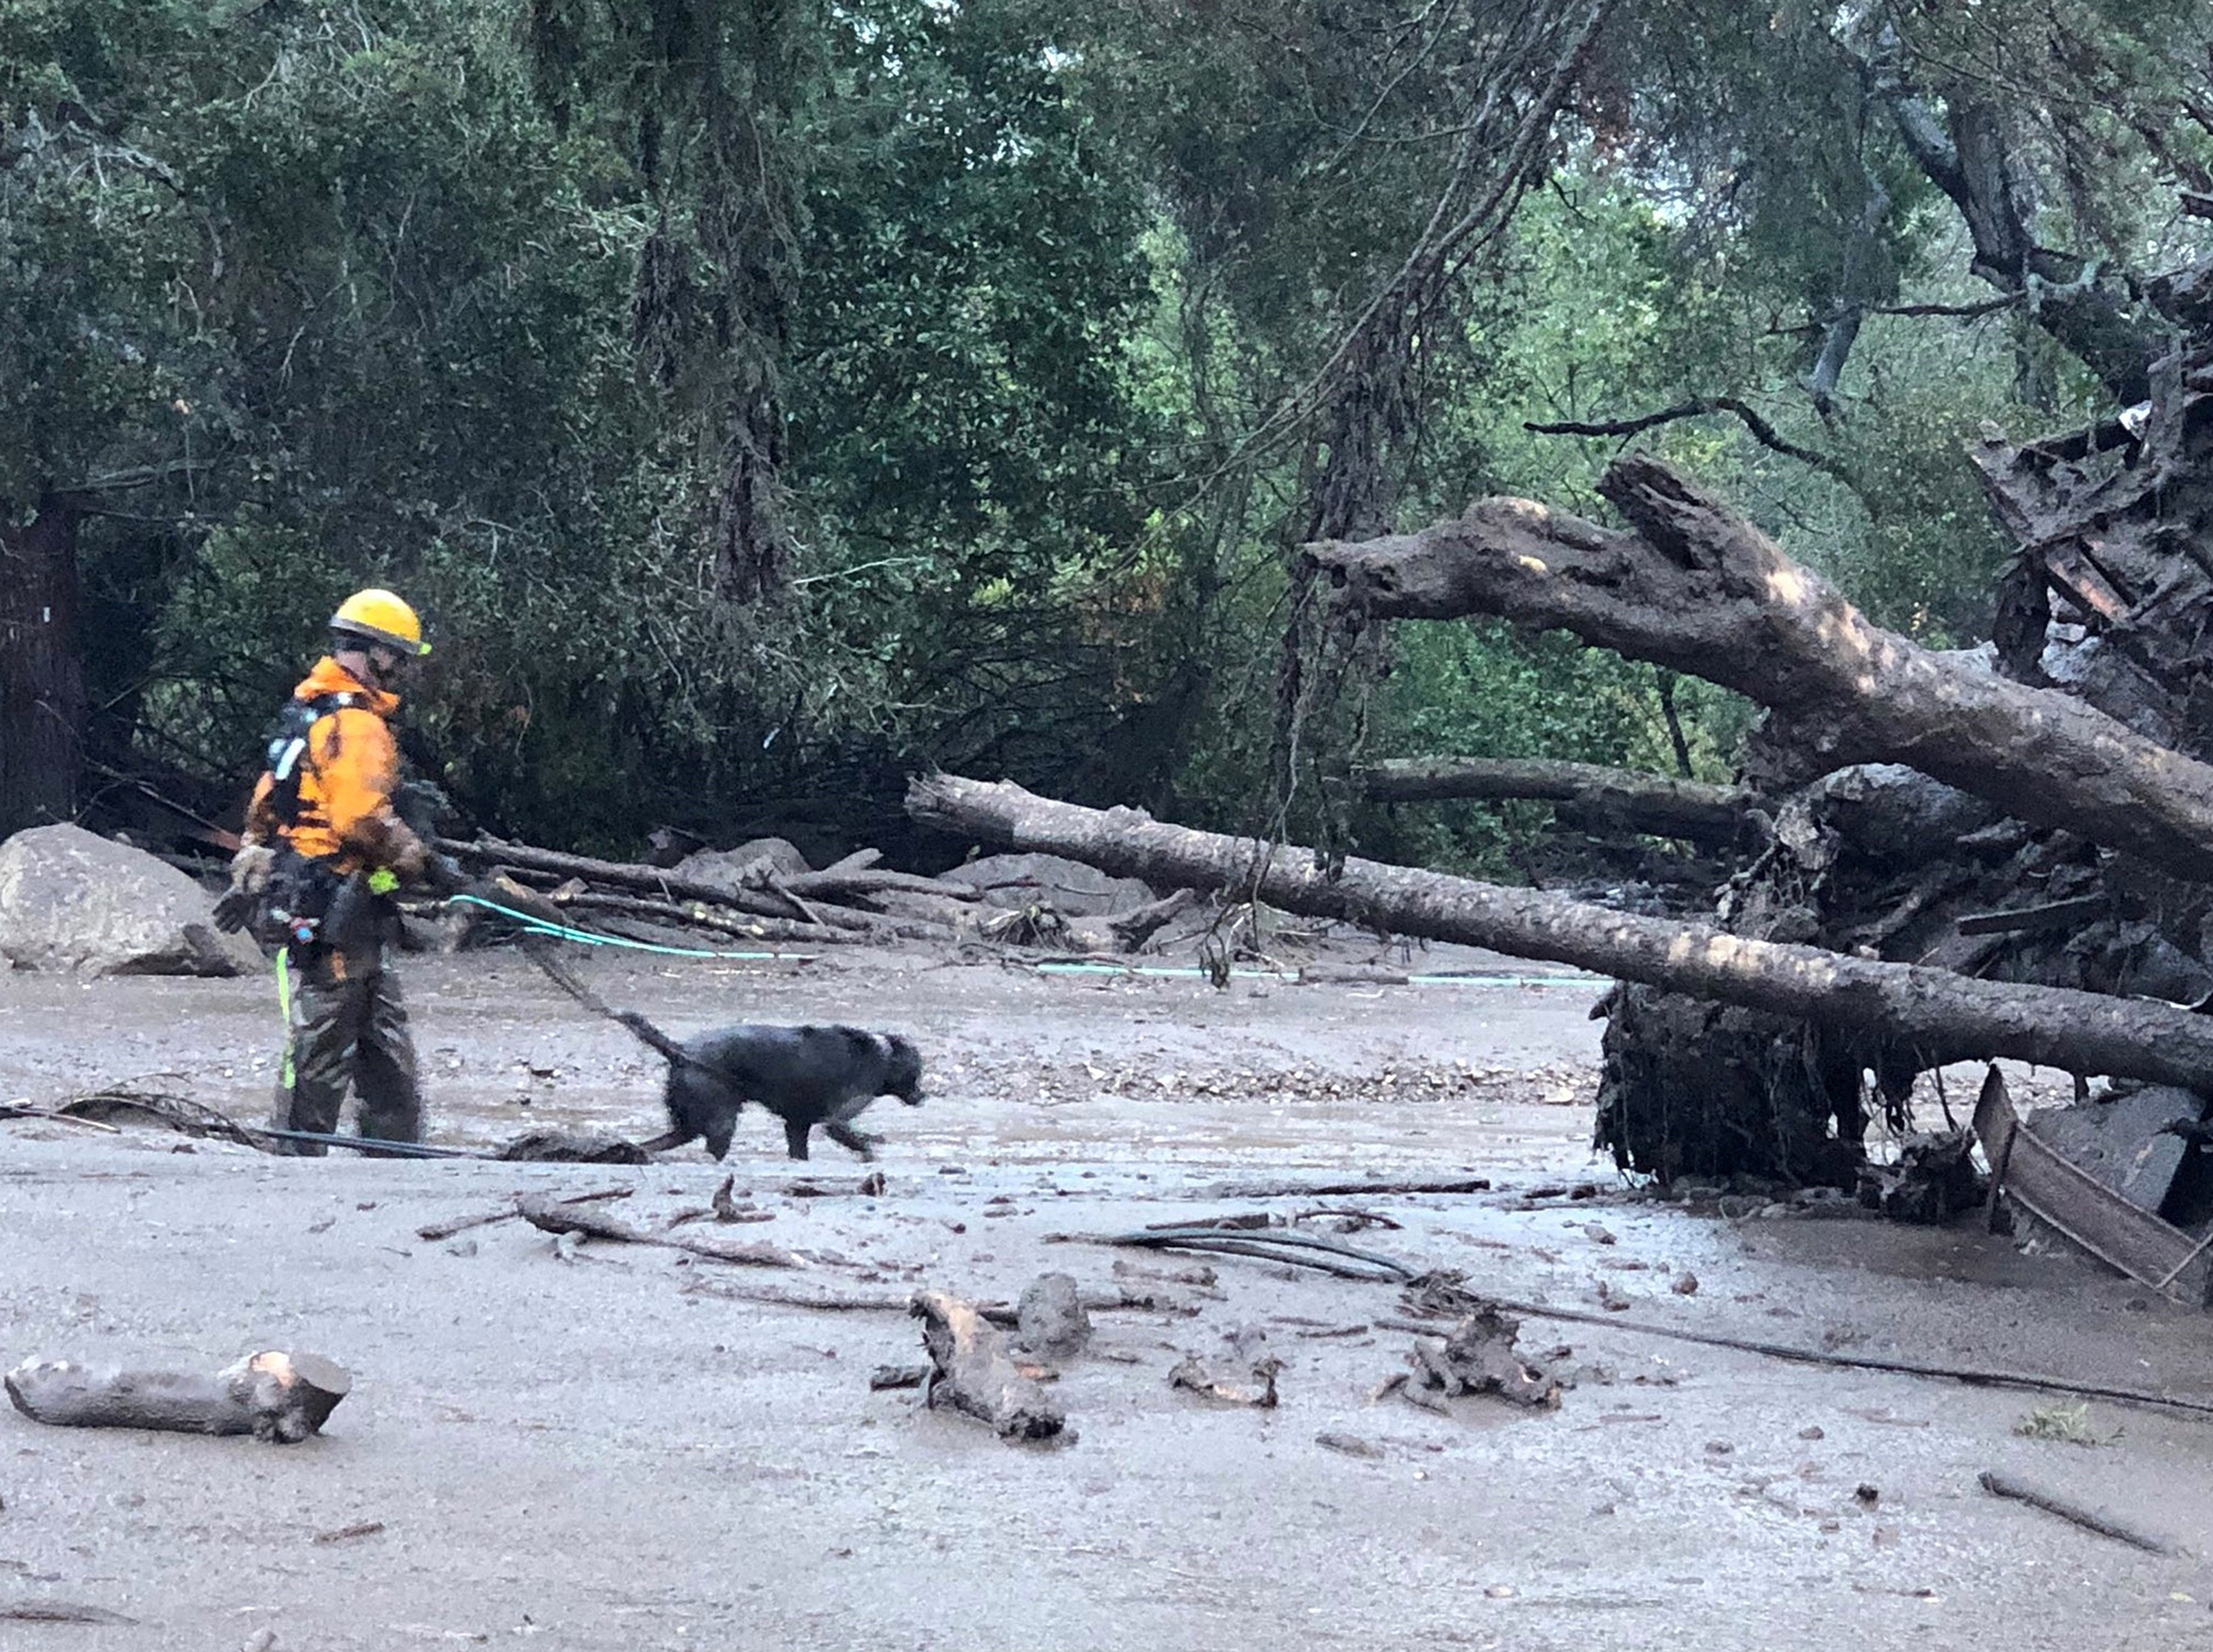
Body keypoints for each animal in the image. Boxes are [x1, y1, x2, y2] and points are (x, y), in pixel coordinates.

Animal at [633, 1021, 925, 1159]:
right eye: (918, 1071)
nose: (923, 1096)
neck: (885, 1056)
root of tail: (680, 1051)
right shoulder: (837, 1120)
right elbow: (859, 1142)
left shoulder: (797, 1125)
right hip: (720, 1122)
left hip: (688, 1125)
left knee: (653, 1145)